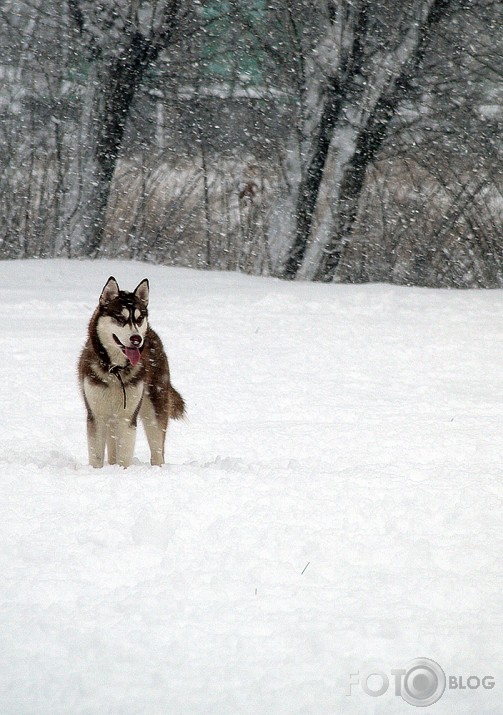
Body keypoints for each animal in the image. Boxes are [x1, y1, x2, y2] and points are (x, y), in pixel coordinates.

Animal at [77, 278, 183, 470]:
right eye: (120, 318)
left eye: (139, 318)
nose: (136, 339)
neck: (116, 370)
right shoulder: (96, 415)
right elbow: (96, 456)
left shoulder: (127, 418)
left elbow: (124, 456)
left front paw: (123, 472)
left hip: (154, 408)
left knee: (157, 449)